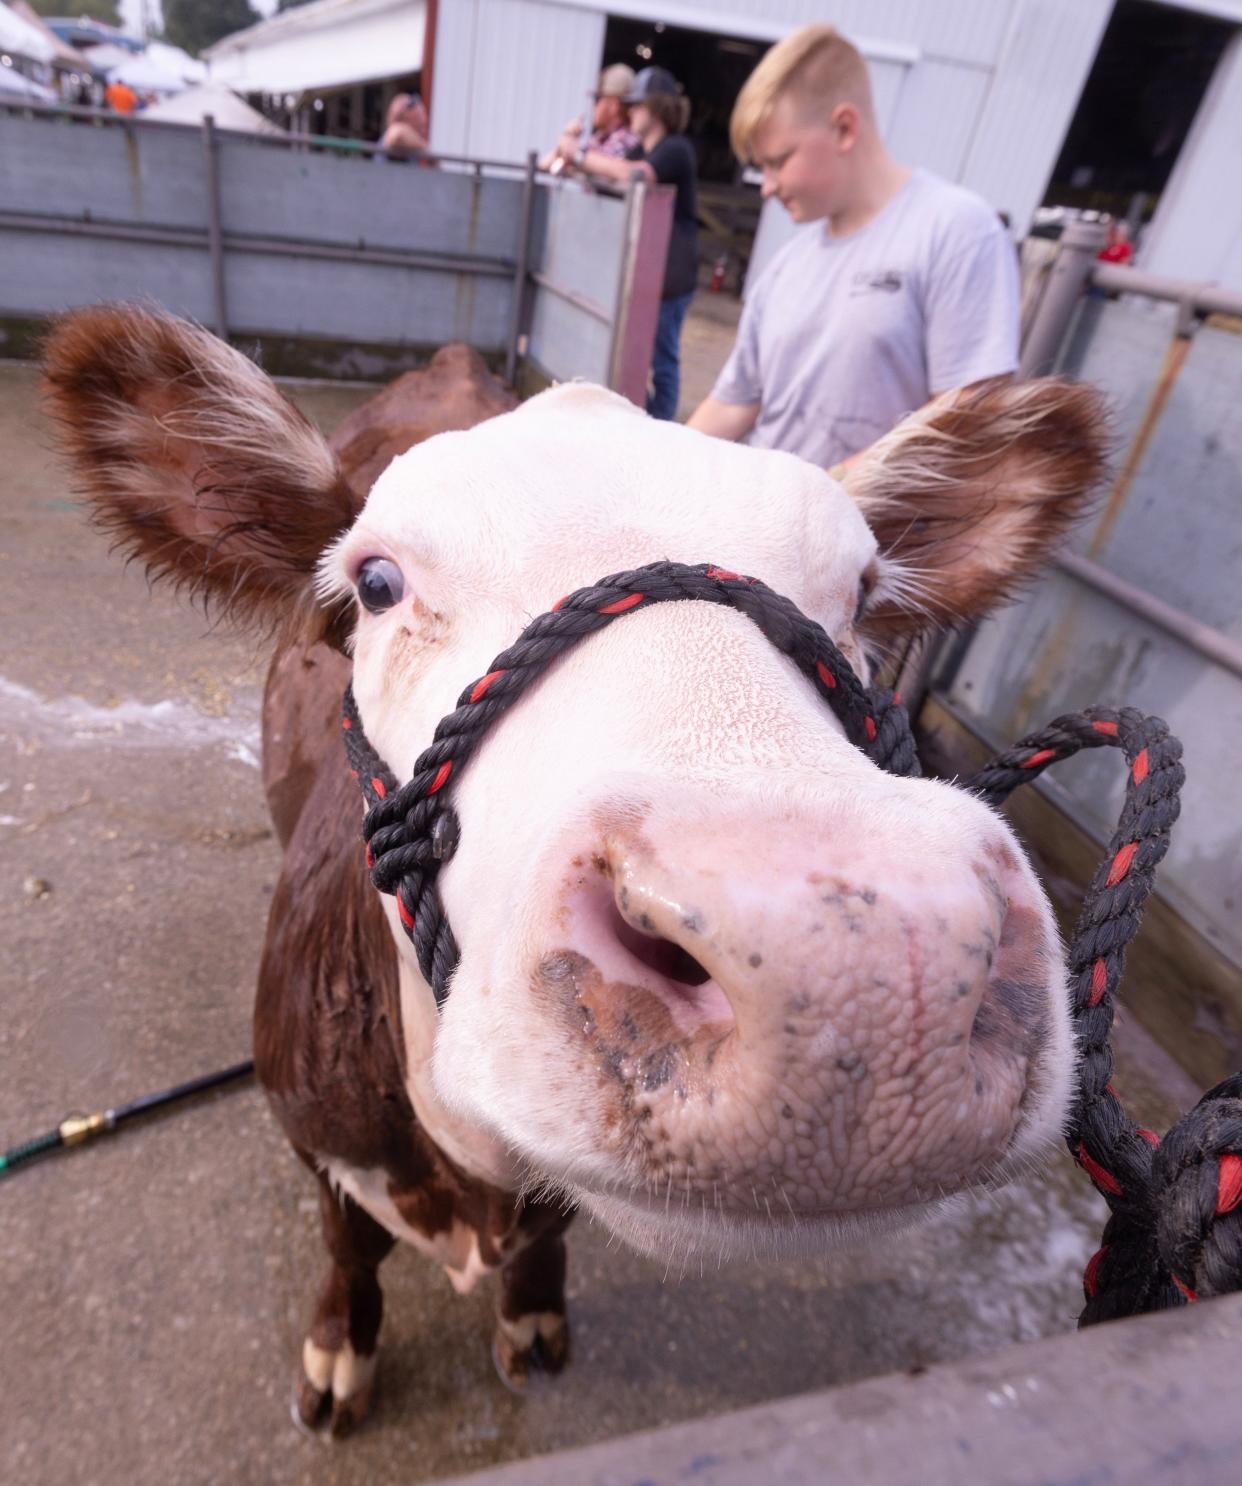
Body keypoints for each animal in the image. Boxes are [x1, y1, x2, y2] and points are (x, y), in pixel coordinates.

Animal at [43, 304, 1099, 1438]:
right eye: (376, 583)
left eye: (860, 594)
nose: (872, 967)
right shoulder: (313, 1130)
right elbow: (347, 1244)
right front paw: (339, 1350)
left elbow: (549, 1240)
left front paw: (532, 1317)